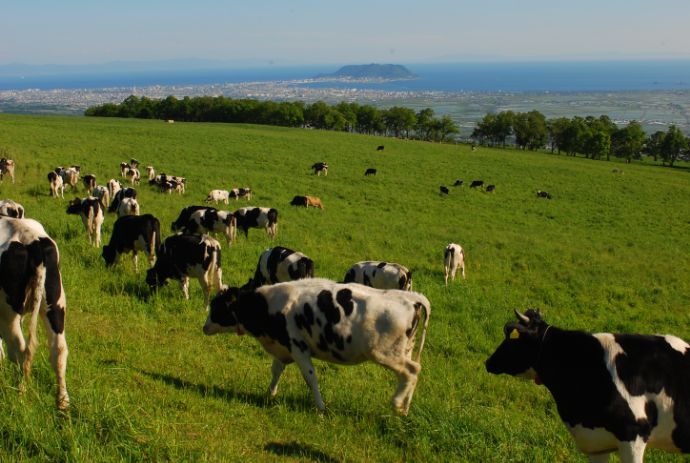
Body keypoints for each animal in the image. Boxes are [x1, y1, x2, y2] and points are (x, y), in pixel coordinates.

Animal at [0, 218, 69, 410]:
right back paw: (62, 402)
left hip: (8, 315)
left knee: (20, 351)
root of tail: (33, 240)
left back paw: (20, 394)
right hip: (55, 302)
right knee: (59, 350)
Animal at [202, 280, 430, 416]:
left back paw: (397, 402)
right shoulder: (284, 347)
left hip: (385, 353)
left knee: (412, 371)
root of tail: (411, 298)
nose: (204, 327)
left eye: (217, 306)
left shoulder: (298, 348)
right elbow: (276, 371)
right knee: (411, 376)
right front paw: (270, 394)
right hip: (404, 350)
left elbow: (310, 378)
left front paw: (321, 408)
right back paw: (404, 409)